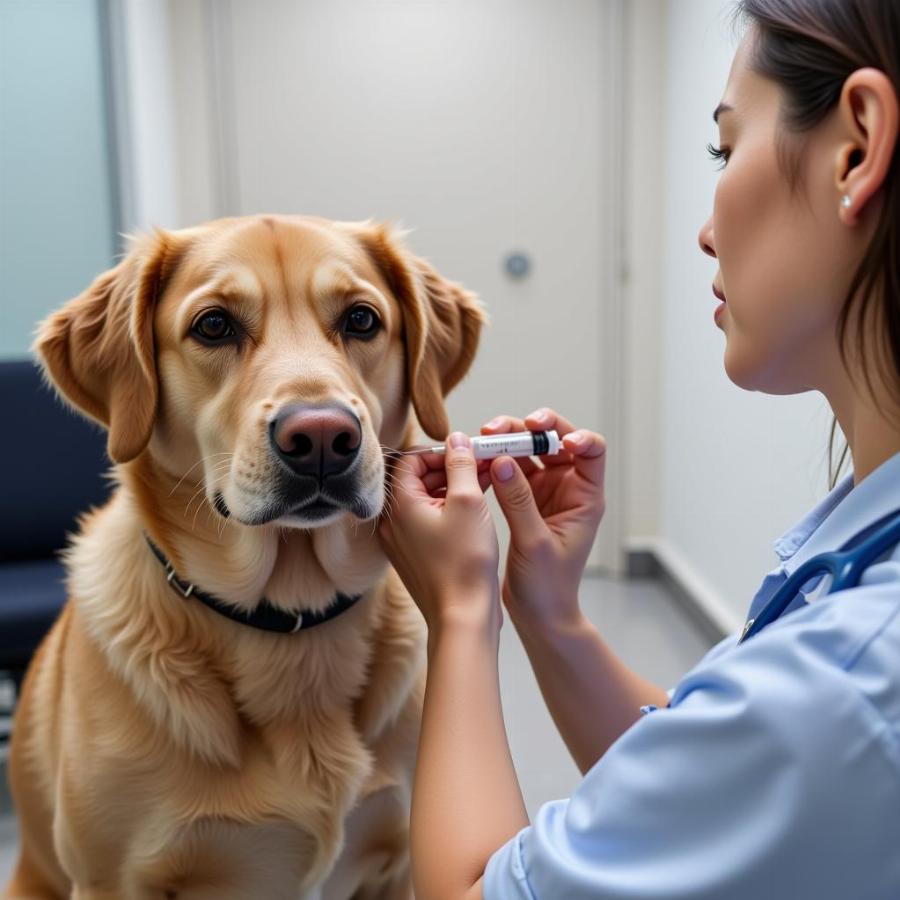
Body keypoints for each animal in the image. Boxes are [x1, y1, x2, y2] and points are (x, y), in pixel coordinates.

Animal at [5, 216, 486, 900]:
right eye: (214, 326)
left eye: (362, 319)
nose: (322, 438)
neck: (291, 622)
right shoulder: (110, 882)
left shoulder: (401, 865)